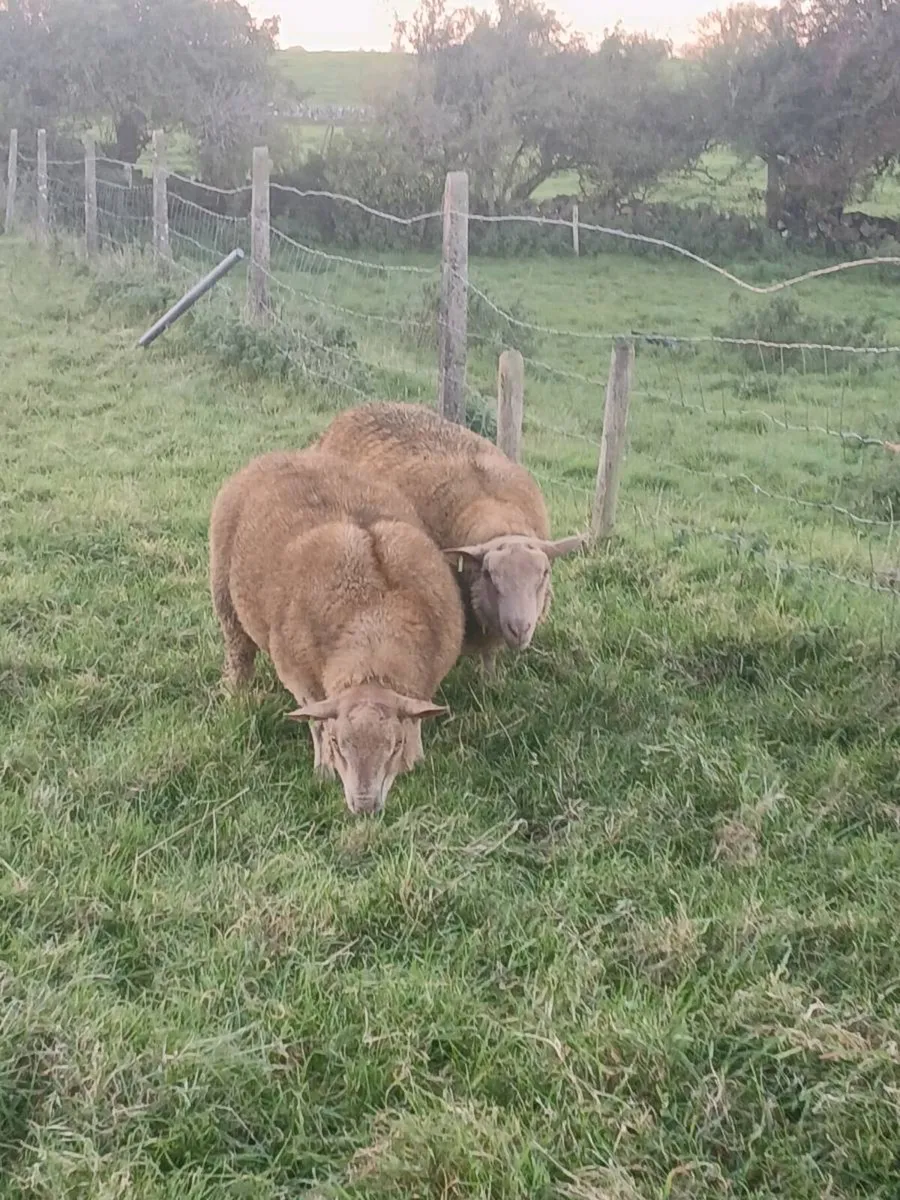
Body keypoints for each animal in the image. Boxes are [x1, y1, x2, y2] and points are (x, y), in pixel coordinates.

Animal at [209, 447, 464, 815]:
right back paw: (236, 696)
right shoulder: (302, 681)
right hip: (225, 599)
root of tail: (279, 455)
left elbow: (417, 717)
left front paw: (415, 760)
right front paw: (323, 769)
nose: (365, 807)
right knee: (239, 654)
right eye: (337, 743)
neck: (372, 616)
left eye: (395, 744)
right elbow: (316, 722)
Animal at [314, 402, 584, 673]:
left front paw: (490, 679)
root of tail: (356, 409)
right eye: (489, 575)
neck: (494, 508)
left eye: (544, 574)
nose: (520, 629)